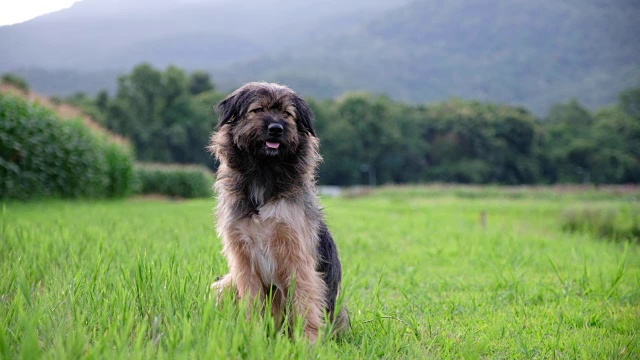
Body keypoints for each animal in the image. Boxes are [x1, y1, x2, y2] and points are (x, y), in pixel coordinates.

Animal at [209, 82, 350, 344]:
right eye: (258, 110)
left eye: (287, 114)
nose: (276, 128)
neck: (264, 177)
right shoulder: (243, 259)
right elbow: (252, 303)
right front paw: (252, 336)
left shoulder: (297, 255)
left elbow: (304, 303)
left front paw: (308, 343)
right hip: (226, 283)